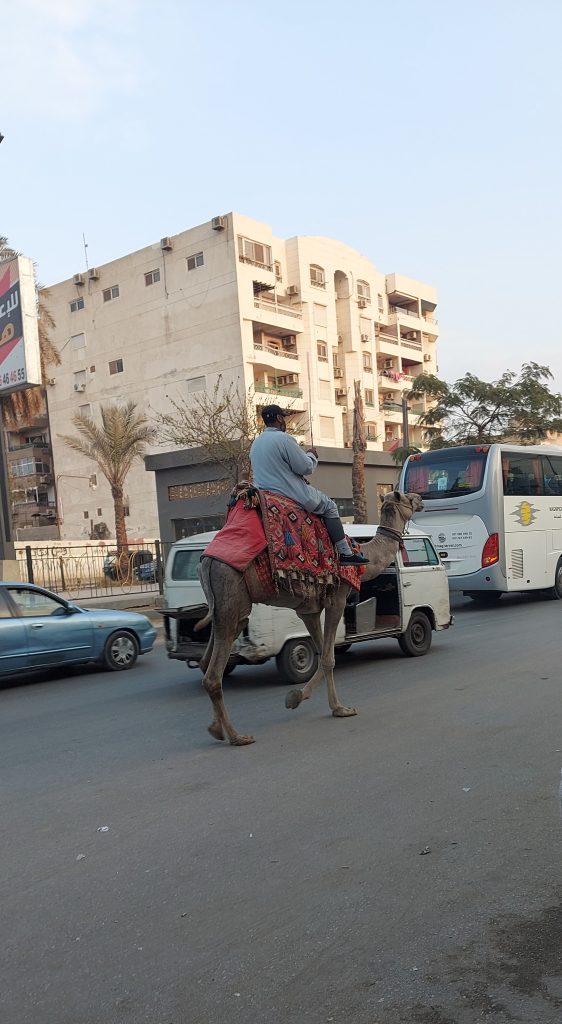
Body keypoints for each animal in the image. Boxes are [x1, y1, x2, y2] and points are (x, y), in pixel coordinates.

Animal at [196, 489, 421, 745]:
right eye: (408, 498)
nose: (421, 499)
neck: (365, 556)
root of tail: (206, 563)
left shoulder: (308, 611)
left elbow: (323, 655)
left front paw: (296, 697)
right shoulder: (337, 598)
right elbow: (329, 658)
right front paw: (340, 708)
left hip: (222, 609)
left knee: (206, 661)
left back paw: (216, 728)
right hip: (232, 597)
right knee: (214, 674)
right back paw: (237, 736)